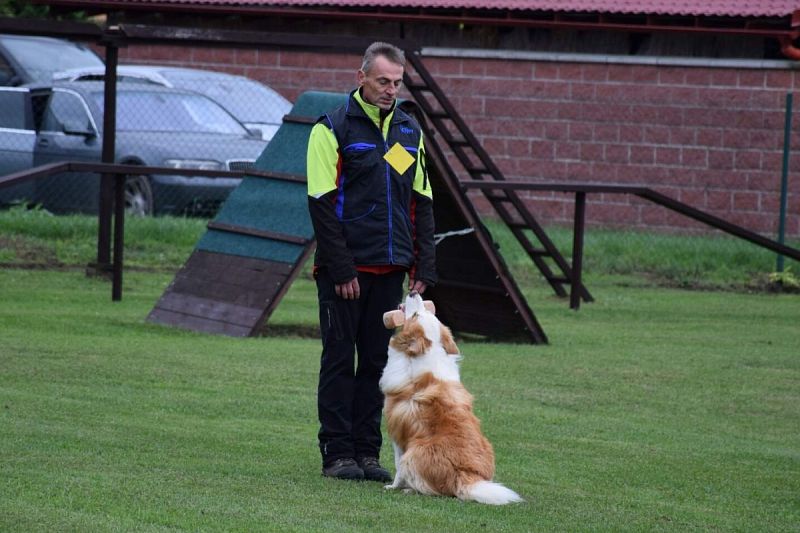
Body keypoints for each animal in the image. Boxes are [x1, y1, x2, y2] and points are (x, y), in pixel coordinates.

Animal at [378, 290, 520, 502]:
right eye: (420, 312)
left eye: (415, 315)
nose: (414, 291)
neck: (428, 353)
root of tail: (466, 476)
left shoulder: (397, 434)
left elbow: (397, 466)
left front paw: (393, 486)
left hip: (413, 453)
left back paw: (410, 489)